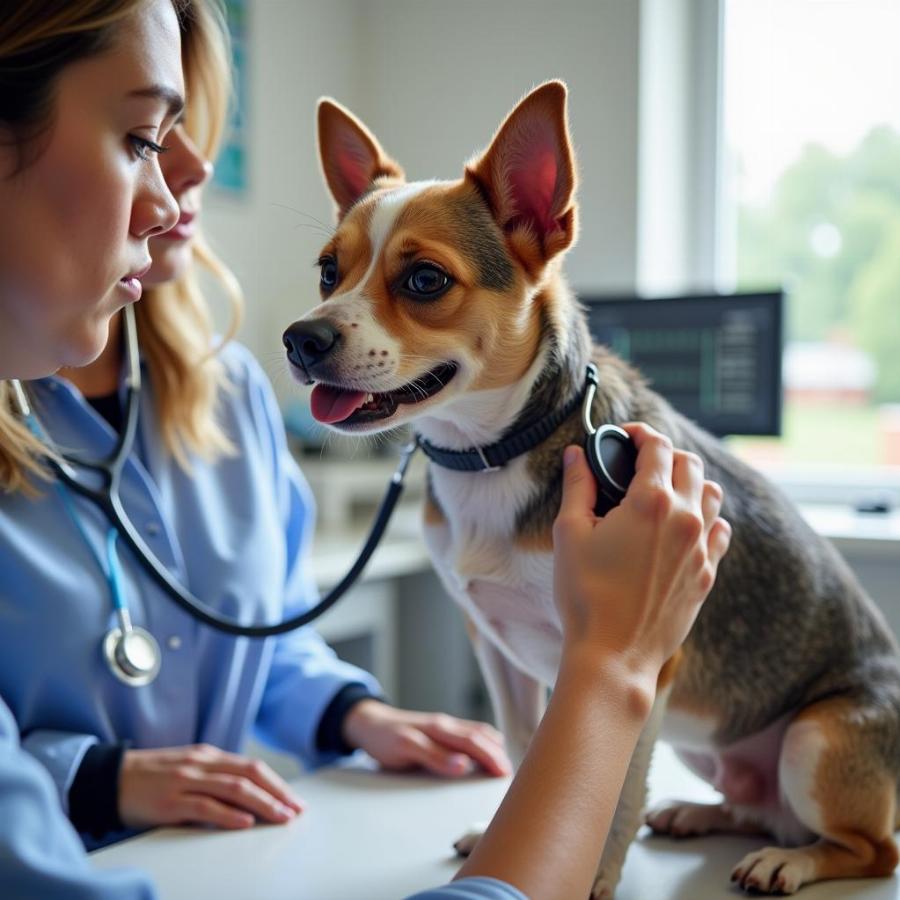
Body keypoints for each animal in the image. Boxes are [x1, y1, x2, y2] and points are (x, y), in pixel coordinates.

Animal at [284, 81, 900, 896]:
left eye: (425, 280)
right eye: (328, 272)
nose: (301, 339)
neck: (489, 454)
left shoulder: (644, 665)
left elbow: (615, 796)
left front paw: (596, 876)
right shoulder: (498, 650)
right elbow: (525, 752)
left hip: (815, 738)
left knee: (867, 847)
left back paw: (789, 861)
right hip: (712, 745)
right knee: (756, 807)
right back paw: (701, 814)